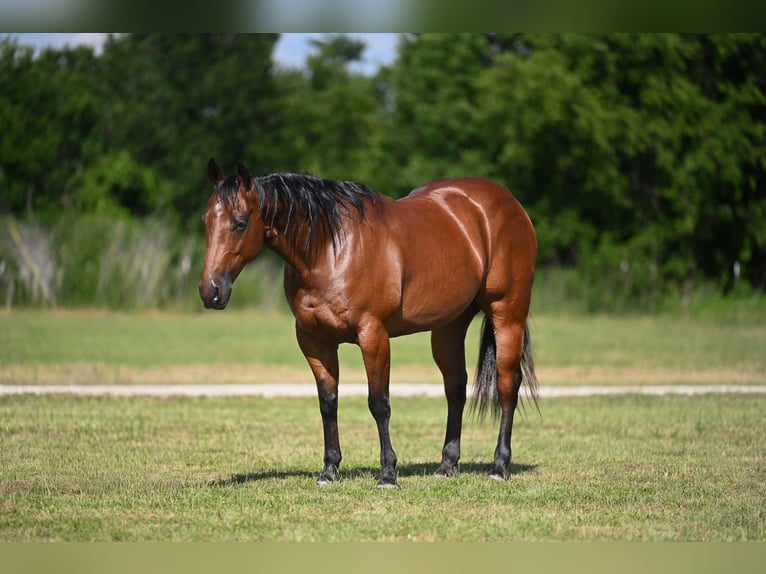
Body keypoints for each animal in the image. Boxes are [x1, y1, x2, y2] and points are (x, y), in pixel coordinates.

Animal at [199, 159, 539, 488]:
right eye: (206, 221)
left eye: (240, 223)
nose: (211, 292)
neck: (329, 250)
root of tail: (509, 203)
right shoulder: (313, 339)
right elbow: (328, 402)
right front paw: (329, 471)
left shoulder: (373, 334)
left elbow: (379, 403)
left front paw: (388, 474)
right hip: (448, 328)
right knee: (455, 387)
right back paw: (446, 465)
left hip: (507, 315)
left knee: (507, 385)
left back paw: (499, 466)